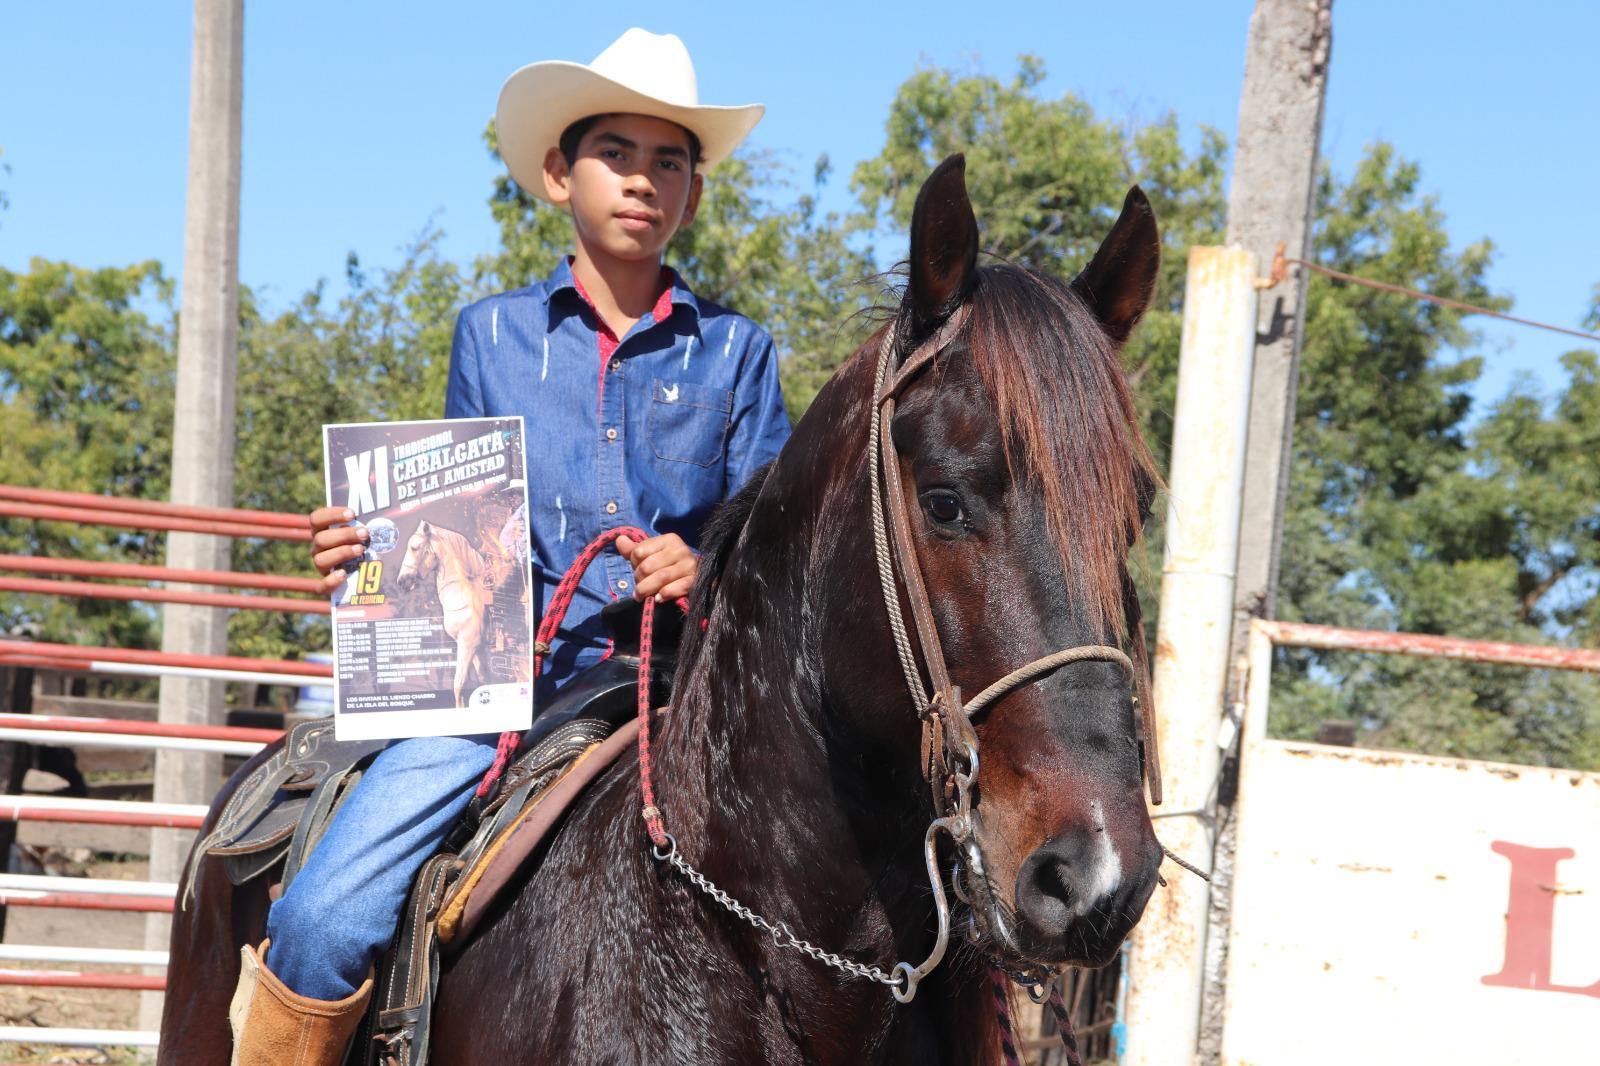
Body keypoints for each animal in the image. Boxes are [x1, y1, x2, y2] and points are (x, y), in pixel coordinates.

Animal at [396, 515, 489, 704]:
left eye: (414, 547)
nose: (402, 582)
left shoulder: (468, 645)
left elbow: (458, 686)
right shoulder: (478, 649)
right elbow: (484, 680)